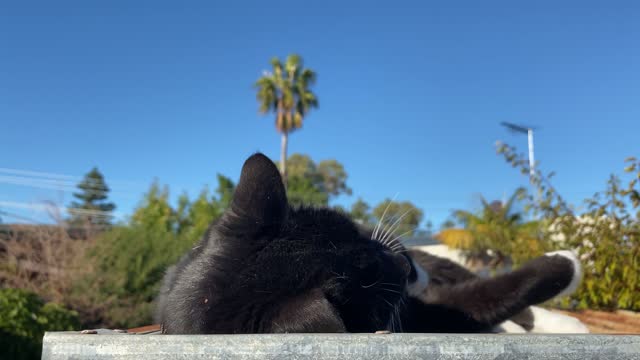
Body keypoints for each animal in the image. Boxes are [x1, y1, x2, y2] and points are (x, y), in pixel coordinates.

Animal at [156, 153, 584, 334]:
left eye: (354, 231)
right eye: (377, 289)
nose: (404, 268)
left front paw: (565, 261)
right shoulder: (422, 316)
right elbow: (483, 299)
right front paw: (566, 263)